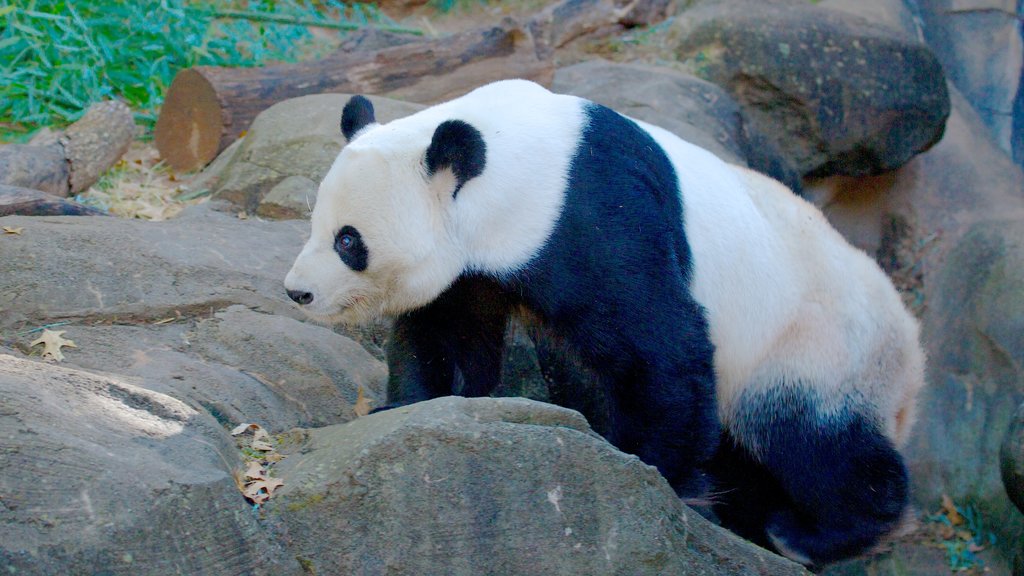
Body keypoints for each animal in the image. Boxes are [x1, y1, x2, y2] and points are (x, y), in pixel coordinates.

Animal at [284, 78, 925, 561]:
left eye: (348, 241)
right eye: (315, 223)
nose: (297, 292)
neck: (507, 160)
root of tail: (912, 353)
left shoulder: (590, 216)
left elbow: (662, 347)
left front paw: (655, 470)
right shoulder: (475, 263)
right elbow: (447, 330)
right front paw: (409, 405)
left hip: (817, 347)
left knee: (814, 440)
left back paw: (810, 532)